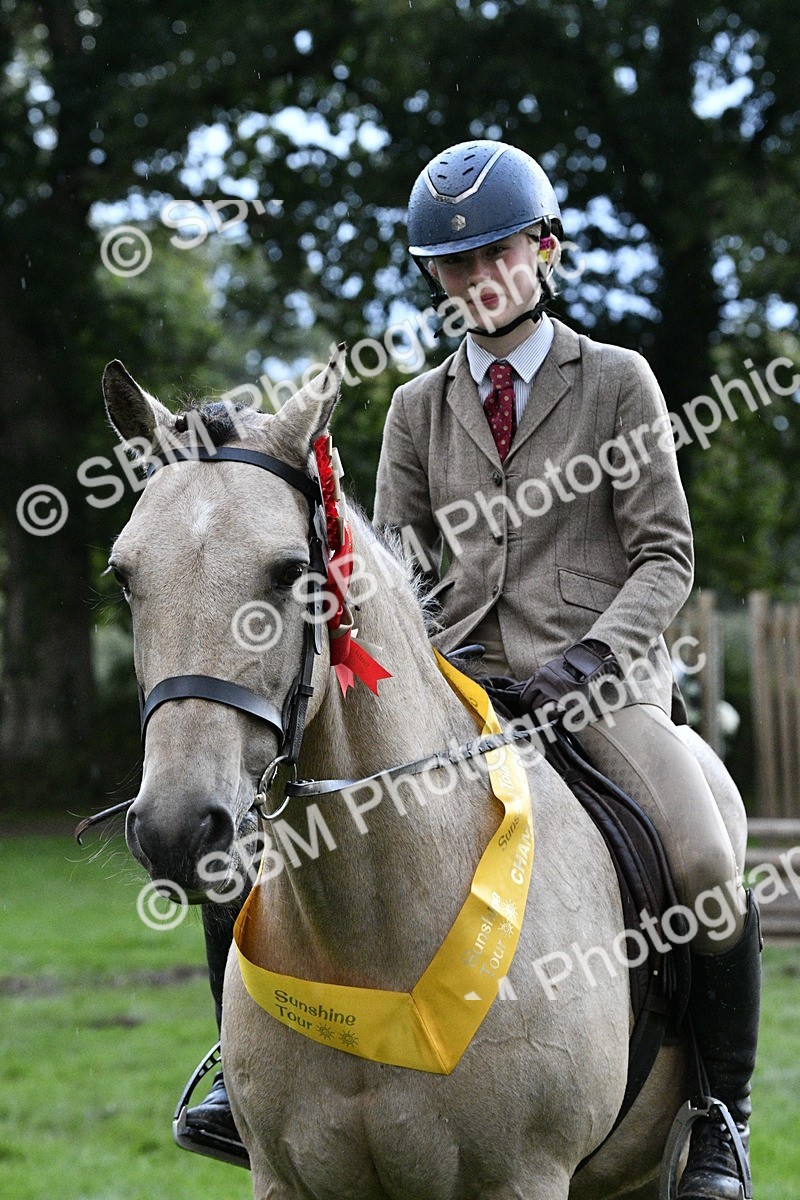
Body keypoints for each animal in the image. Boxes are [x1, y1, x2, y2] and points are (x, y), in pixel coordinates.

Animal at [102, 355, 747, 1200]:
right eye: (125, 575)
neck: (367, 941)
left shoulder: (525, 1177)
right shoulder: (282, 1179)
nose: (176, 830)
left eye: (289, 572)